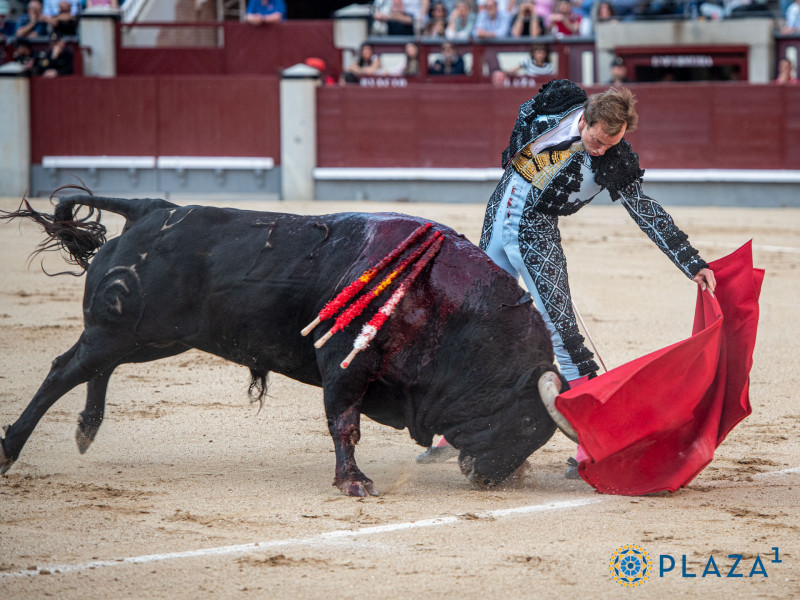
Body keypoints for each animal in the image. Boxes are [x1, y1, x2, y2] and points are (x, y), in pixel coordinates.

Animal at [1, 197, 568, 496]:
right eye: (525, 420)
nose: (493, 479)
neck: (450, 309)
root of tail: (151, 208)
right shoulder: (345, 364)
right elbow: (344, 423)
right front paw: (353, 483)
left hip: (149, 338)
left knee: (98, 367)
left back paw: (85, 430)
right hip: (124, 332)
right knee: (64, 369)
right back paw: (11, 449)